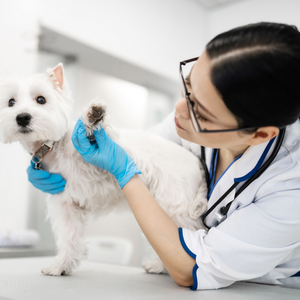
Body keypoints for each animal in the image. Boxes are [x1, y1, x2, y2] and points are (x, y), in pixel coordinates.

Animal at [0, 63, 207, 276]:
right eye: (11, 102)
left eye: (41, 99)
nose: (22, 117)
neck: (53, 146)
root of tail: (196, 162)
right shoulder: (65, 203)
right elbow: (69, 236)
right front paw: (61, 265)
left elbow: (97, 139)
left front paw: (93, 116)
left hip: (175, 204)